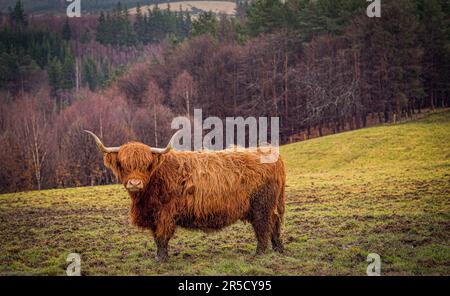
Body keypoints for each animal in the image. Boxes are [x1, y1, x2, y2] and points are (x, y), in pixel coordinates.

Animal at [86, 130, 286, 262]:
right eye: (123, 164)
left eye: (146, 164)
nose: (134, 183)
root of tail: (271, 153)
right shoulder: (153, 215)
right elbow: (156, 238)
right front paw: (159, 257)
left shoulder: (164, 214)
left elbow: (161, 237)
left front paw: (161, 260)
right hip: (271, 204)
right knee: (275, 223)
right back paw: (278, 249)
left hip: (261, 206)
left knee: (263, 227)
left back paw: (259, 254)